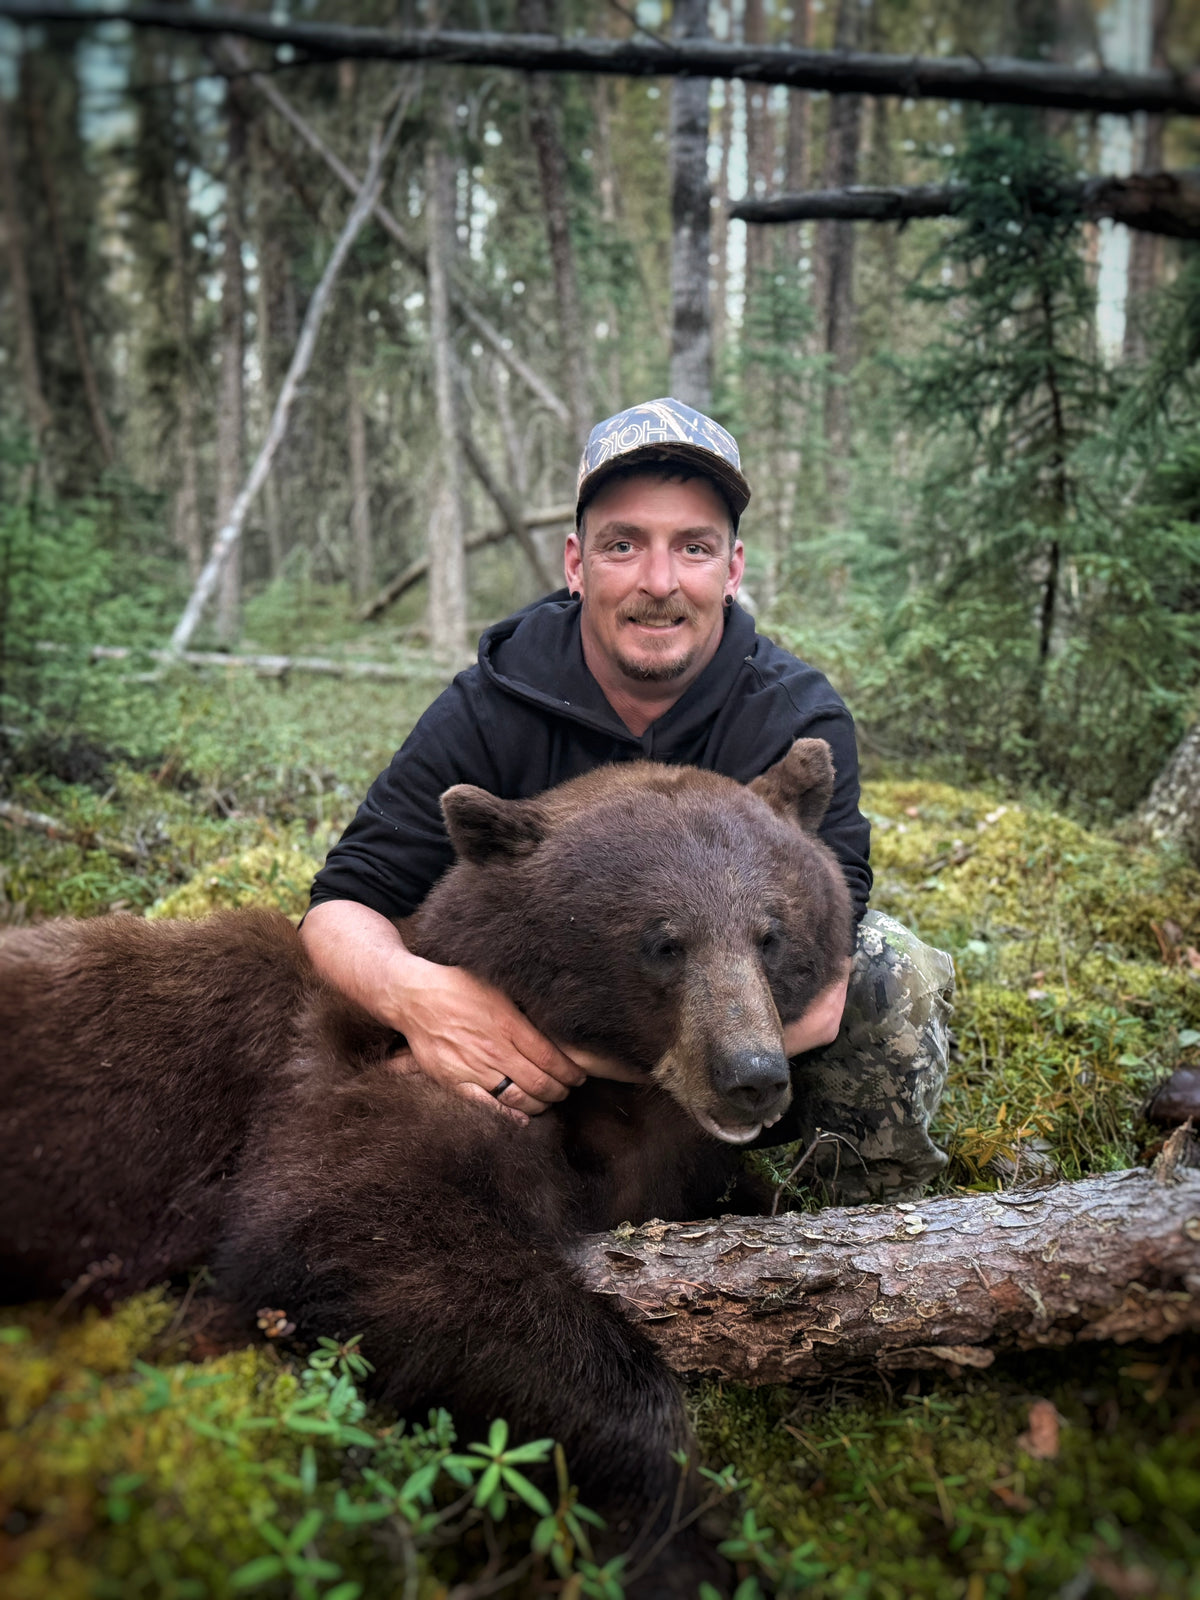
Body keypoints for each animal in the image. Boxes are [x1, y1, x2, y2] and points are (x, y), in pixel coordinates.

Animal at [0, 738, 851, 1587]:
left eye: (771, 933)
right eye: (663, 941)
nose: (751, 1077)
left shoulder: (664, 1149)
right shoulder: (387, 1090)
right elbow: (356, 1234)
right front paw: (680, 1534)